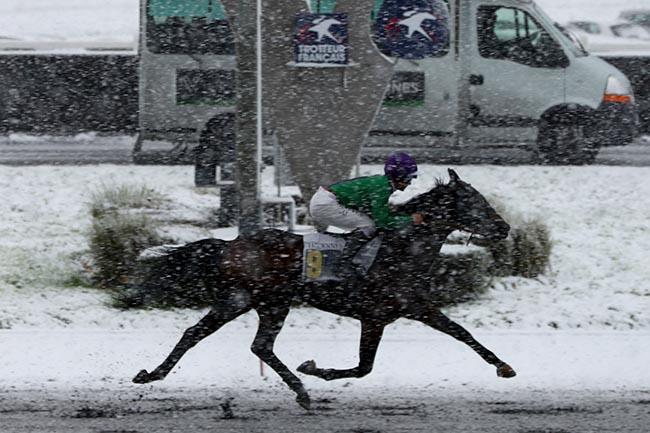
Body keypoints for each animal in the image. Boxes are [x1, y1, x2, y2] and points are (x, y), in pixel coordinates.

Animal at [133, 170, 516, 408]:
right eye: (474, 202)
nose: (504, 228)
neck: (402, 249)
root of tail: (230, 244)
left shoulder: (413, 308)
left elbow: (460, 332)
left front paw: (503, 366)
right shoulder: (378, 316)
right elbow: (365, 367)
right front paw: (314, 368)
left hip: (256, 302)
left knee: (237, 341)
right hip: (254, 300)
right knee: (222, 338)